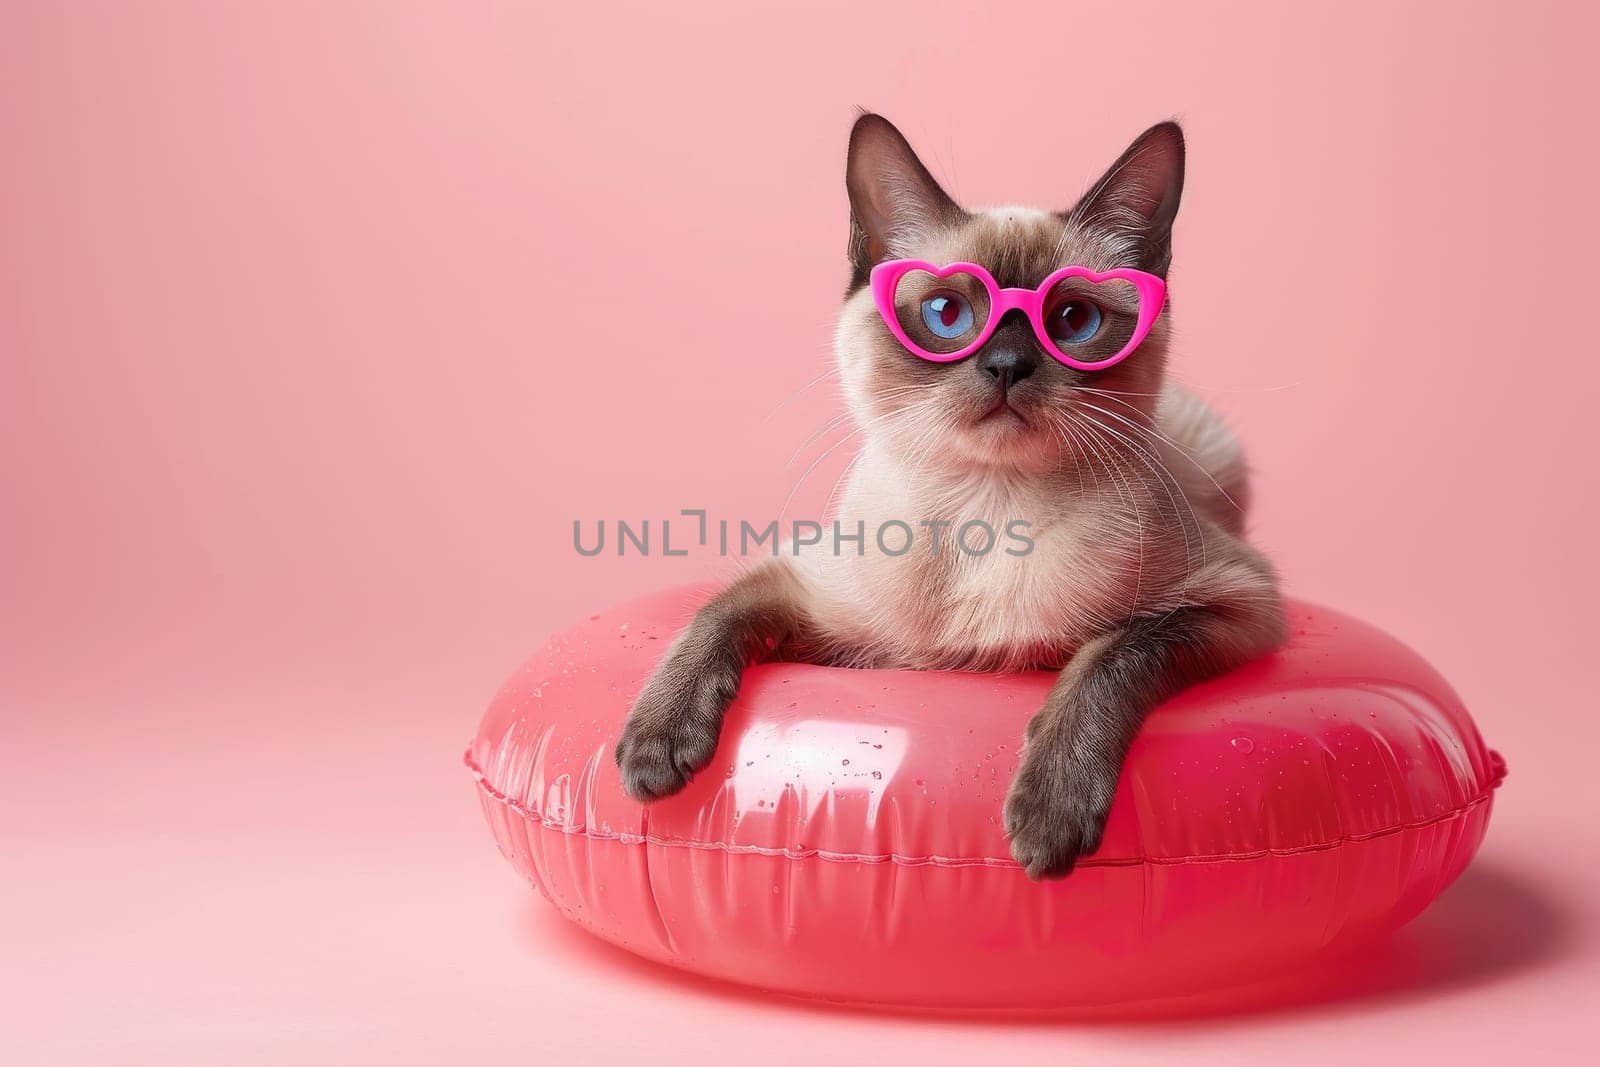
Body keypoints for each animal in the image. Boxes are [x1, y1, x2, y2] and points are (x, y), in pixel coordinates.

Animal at [611, 112, 1286, 883]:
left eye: (1074, 321)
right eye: (945, 313)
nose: (1007, 366)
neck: (983, 513)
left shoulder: (1233, 604)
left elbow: (1109, 657)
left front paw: (1049, 815)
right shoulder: (814, 597)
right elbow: (715, 614)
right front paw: (655, 750)